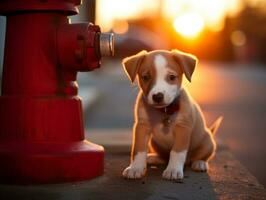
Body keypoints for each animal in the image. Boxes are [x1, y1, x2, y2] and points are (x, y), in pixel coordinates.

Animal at [121, 49, 221, 180]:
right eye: (146, 77)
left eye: (172, 77)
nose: (158, 96)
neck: (164, 111)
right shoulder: (141, 127)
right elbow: (138, 149)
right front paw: (135, 168)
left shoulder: (183, 129)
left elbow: (176, 152)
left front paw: (173, 170)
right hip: (154, 142)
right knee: (164, 156)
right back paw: (154, 157)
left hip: (208, 142)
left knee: (202, 156)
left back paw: (200, 163)